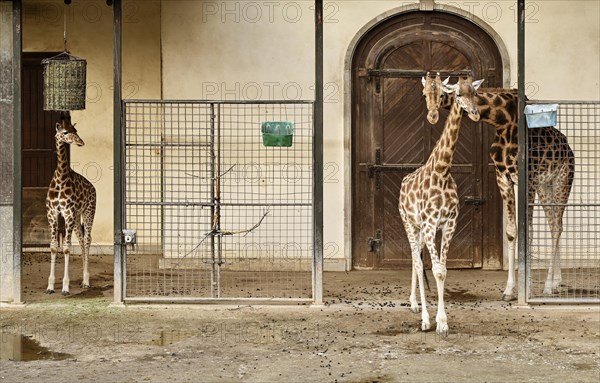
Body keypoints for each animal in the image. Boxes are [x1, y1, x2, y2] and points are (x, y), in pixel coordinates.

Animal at [46, 112, 96, 296]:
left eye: (76, 130)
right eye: (65, 132)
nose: (80, 142)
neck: (61, 179)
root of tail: (93, 188)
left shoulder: (67, 213)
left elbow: (66, 248)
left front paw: (65, 287)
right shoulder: (53, 213)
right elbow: (54, 247)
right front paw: (50, 286)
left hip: (88, 212)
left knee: (87, 239)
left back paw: (86, 281)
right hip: (76, 218)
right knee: (81, 240)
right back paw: (83, 279)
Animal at [400, 73, 486, 336]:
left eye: (474, 93)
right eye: (458, 93)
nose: (475, 114)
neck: (442, 171)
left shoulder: (448, 224)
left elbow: (443, 270)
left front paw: (443, 322)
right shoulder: (429, 224)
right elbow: (436, 270)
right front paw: (435, 322)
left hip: (421, 230)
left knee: (416, 258)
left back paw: (415, 303)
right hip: (409, 224)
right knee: (418, 263)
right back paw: (422, 316)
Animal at [432, 88, 576, 302]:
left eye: (441, 93)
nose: (432, 113)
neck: (503, 122)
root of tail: (569, 149)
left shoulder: (528, 178)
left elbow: (528, 232)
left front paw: (527, 289)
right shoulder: (503, 178)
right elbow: (511, 232)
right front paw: (509, 290)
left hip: (562, 180)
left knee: (556, 226)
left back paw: (548, 287)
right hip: (545, 185)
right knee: (554, 225)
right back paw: (556, 282)